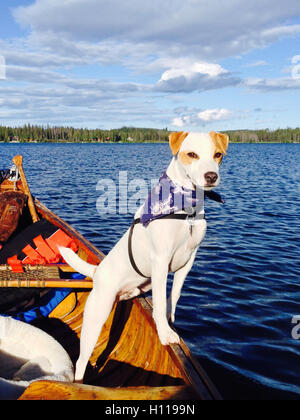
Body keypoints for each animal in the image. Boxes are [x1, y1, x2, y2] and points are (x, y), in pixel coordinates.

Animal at [59, 131, 229, 380]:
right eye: (192, 154)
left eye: (218, 155)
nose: (211, 176)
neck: (186, 208)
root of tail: (98, 271)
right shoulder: (161, 260)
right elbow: (159, 301)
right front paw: (165, 333)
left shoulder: (188, 261)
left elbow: (174, 295)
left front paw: (169, 321)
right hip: (96, 315)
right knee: (81, 361)